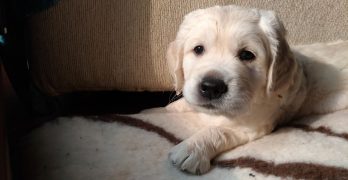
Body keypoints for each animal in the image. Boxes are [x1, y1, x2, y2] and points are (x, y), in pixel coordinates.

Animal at [165, 5, 348, 174]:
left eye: (247, 55)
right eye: (198, 49)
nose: (211, 87)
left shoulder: (254, 126)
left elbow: (219, 130)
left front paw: (192, 148)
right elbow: (184, 102)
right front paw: (167, 108)